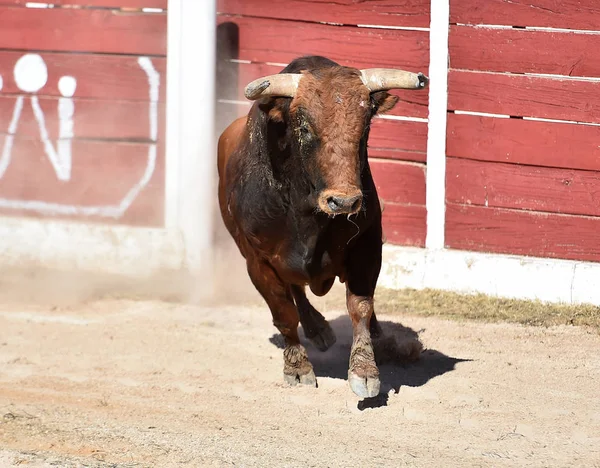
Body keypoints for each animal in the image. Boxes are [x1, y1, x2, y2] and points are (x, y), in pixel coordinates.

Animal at [216, 55, 426, 398]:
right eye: (303, 126)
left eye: (366, 126)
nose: (344, 202)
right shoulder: (257, 262)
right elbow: (284, 312)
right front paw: (298, 368)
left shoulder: (366, 246)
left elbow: (360, 306)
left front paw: (365, 371)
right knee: (295, 293)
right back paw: (318, 329)